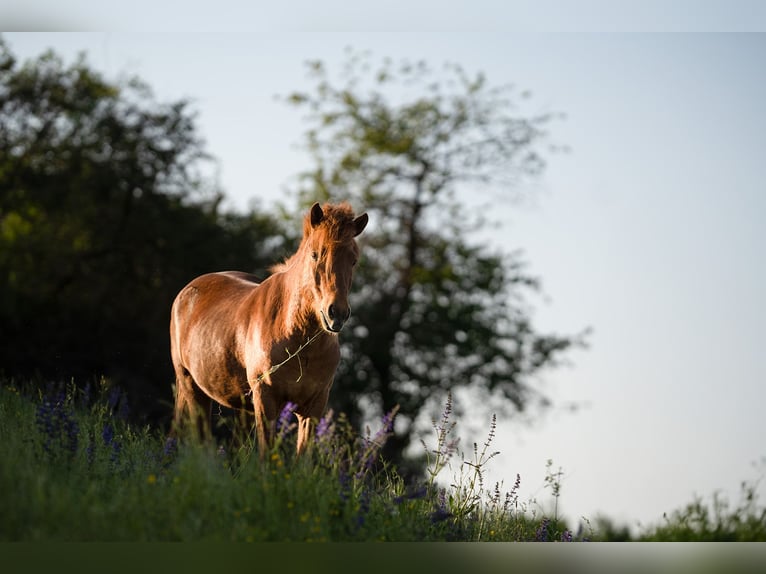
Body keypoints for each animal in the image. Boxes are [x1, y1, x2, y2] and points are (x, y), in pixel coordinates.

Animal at [169, 202, 368, 455]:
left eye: (353, 260)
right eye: (315, 254)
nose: (337, 313)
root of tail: (186, 291)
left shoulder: (313, 407)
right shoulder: (266, 401)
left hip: (240, 406)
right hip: (192, 388)